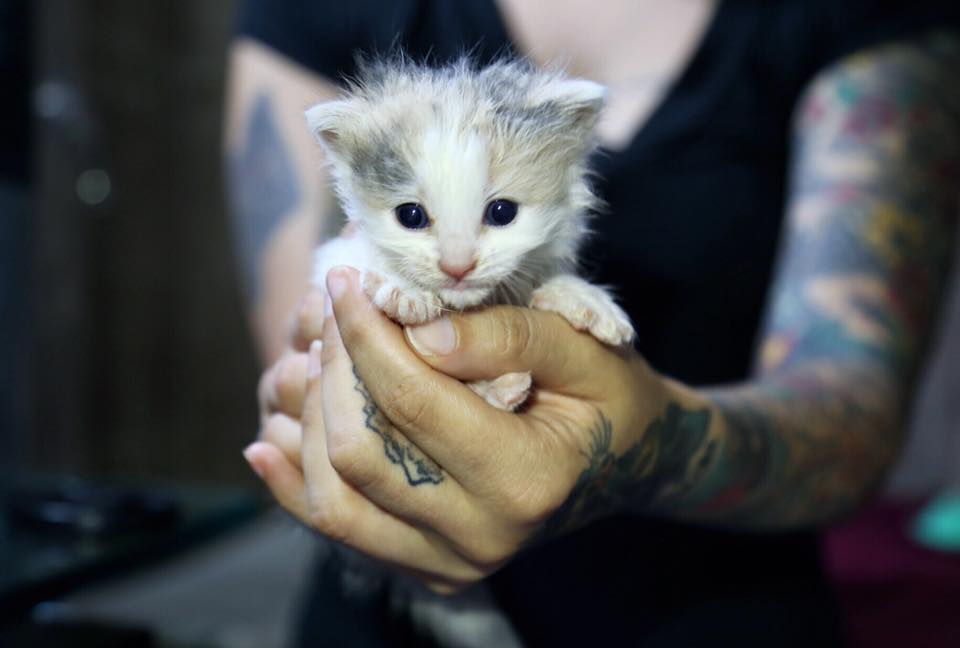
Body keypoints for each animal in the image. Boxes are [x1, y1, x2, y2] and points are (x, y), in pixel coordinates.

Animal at [308, 57, 632, 410]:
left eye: (502, 212)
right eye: (410, 216)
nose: (457, 267)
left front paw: (578, 294)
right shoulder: (333, 256)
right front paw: (403, 287)